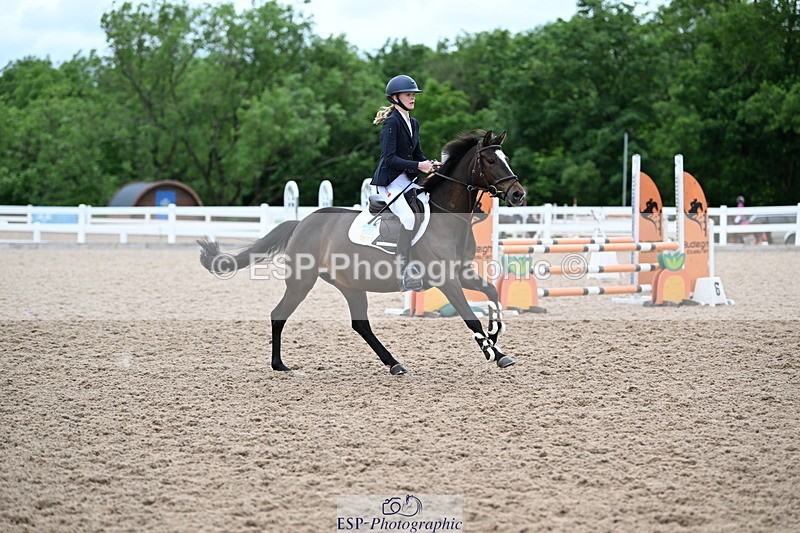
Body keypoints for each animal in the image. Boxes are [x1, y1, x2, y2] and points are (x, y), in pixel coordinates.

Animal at [198, 130, 526, 375]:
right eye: (490, 160)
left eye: (506, 158)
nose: (518, 194)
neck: (447, 215)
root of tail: (302, 222)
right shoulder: (447, 280)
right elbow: (470, 317)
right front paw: (492, 351)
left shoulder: (462, 273)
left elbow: (492, 293)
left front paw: (495, 338)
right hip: (302, 281)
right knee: (279, 314)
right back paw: (279, 365)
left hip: (350, 284)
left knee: (361, 325)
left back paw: (394, 364)